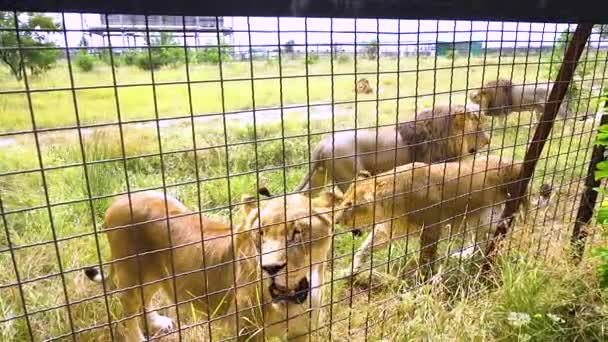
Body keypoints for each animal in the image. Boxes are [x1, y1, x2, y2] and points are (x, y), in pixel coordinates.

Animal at [82, 188, 338, 340]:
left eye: (297, 232)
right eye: (260, 233)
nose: (270, 268)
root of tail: (119, 200)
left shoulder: (303, 333)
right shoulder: (244, 331)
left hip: (155, 274)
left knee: (143, 302)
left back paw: (158, 322)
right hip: (131, 274)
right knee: (128, 312)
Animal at [334, 154, 548, 280]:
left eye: (350, 205)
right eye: (343, 201)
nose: (336, 221)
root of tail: (517, 163)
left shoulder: (431, 230)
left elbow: (426, 258)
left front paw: (422, 281)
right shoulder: (389, 230)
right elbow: (363, 249)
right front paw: (350, 271)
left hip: (491, 217)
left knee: (504, 229)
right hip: (475, 219)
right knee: (478, 241)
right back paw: (464, 255)